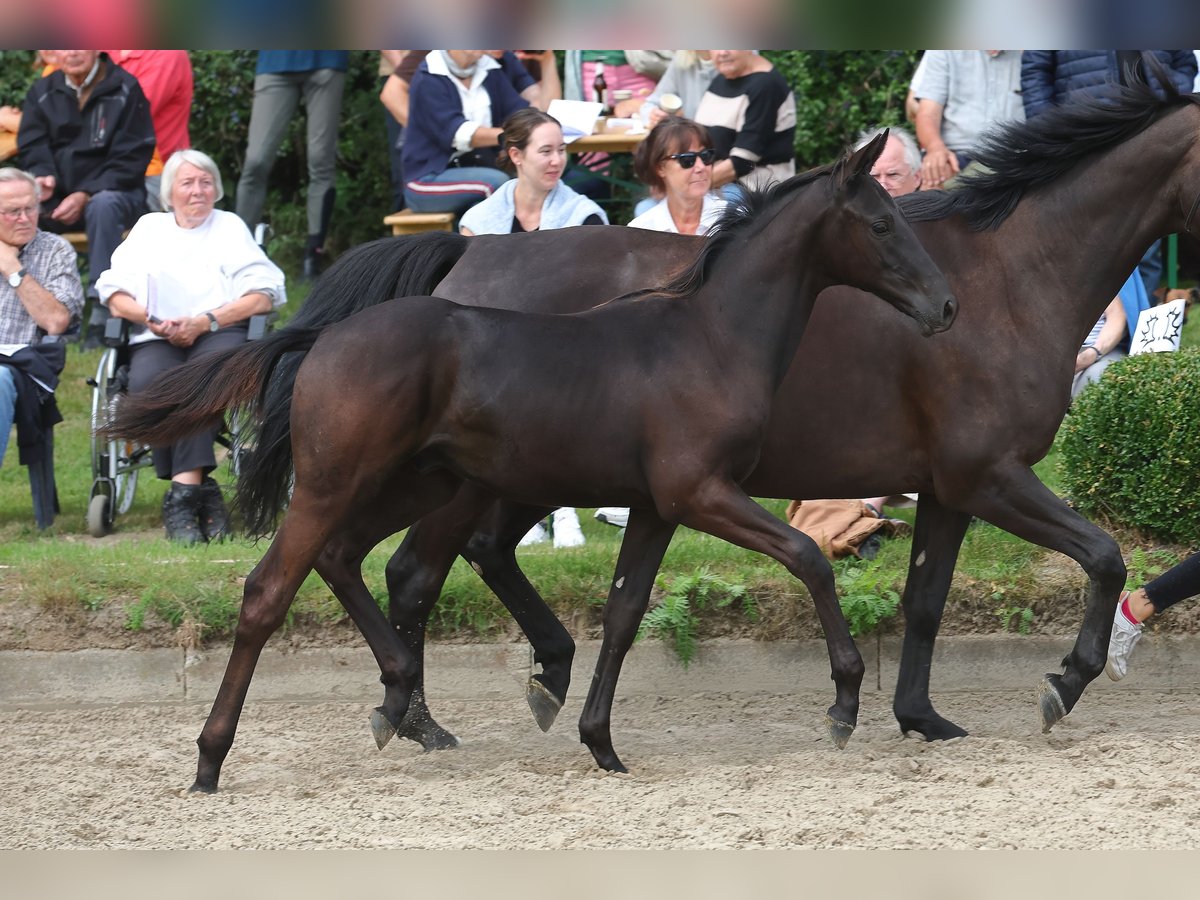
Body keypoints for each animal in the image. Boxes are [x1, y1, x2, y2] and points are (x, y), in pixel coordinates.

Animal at [110, 133, 955, 787]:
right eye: (880, 223)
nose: (945, 306)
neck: (712, 337)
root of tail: (322, 336)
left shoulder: (655, 507)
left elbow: (624, 612)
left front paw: (600, 742)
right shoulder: (702, 493)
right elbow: (809, 555)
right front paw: (845, 701)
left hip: (418, 485)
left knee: (348, 559)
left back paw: (400, 698)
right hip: (337, 481)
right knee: (270, 591)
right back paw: (212, 759)